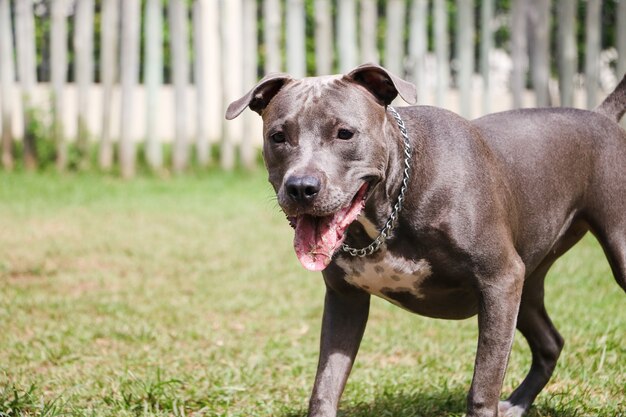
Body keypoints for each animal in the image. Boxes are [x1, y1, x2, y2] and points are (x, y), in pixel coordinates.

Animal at [225, 62, 624, 416]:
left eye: (345, 133)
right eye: (278, 136)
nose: (301, 187)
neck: (389, 207)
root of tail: (600, 117)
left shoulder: (498, 279)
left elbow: (483, 387)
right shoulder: (345, 300)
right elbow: (325, 386)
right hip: (526, 286)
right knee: (550, 343)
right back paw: (518, 403)